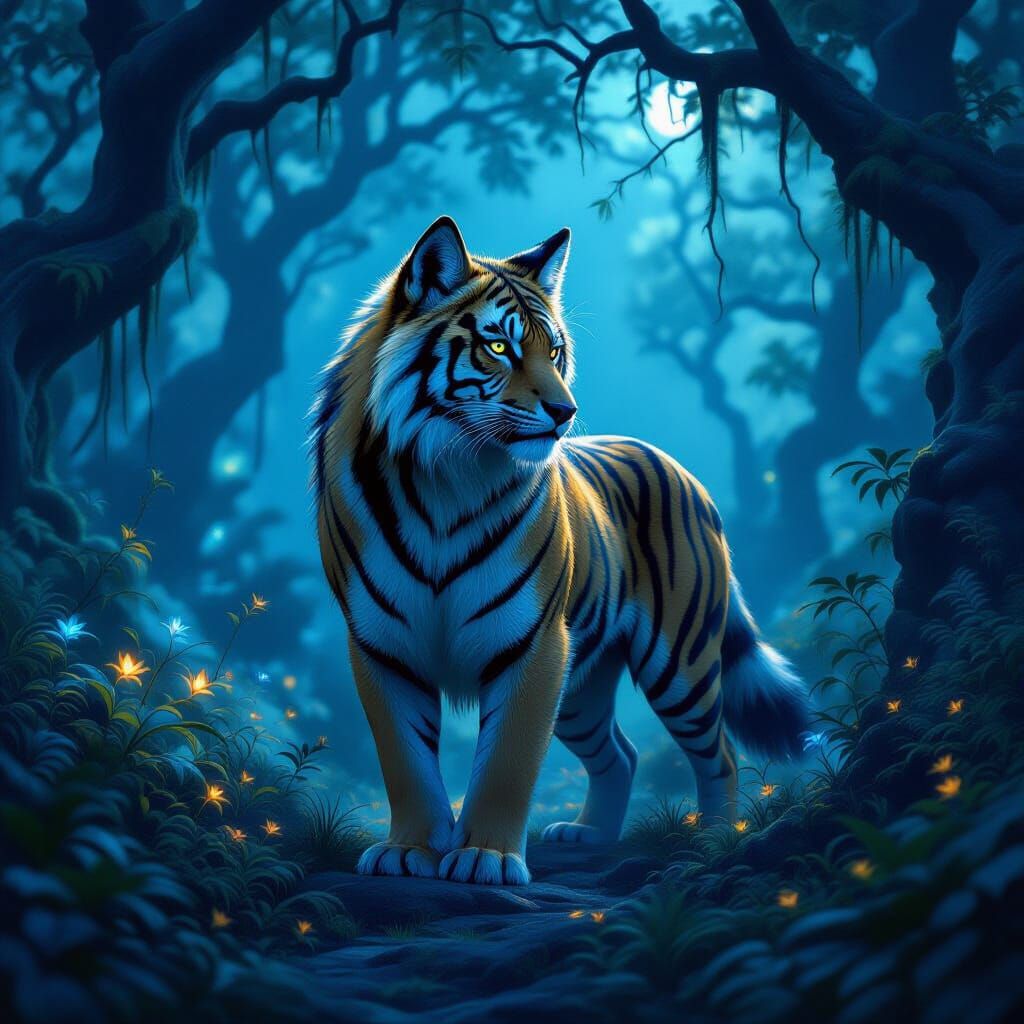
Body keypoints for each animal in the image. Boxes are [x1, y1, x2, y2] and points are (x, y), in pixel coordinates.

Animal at [311, 216, 810, 886]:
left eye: (554, 352)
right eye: (498, 348)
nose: (564, 410)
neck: (445, 481)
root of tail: (683, 470)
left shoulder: (533, 643)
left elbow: (509, 761)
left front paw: (486, 858)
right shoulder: (381, 645)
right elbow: (405, 758)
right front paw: (409, 851)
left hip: (678, 664)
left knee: (721, 753)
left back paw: (711, 843)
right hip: (583, 685)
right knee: (620, 754)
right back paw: (591, 835)